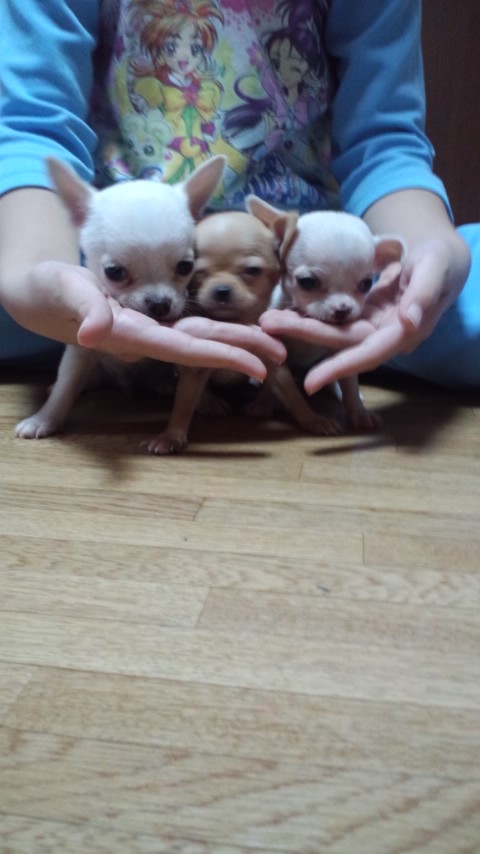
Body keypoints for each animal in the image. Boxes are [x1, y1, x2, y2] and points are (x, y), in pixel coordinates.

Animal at [15, 155, 225, 439]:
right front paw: (44, 418)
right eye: (114, 272)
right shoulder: (79, 350)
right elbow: (65, 386)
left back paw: (163, 382)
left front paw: (206, 399)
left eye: (185, 267)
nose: (160, 304)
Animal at [248, 198, 406, 431]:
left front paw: (358, 412)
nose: (343, 309)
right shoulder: (274, 354)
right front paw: (311, 419)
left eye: (366, 284)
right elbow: (289, 391)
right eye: (307, 282)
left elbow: (349, 381)